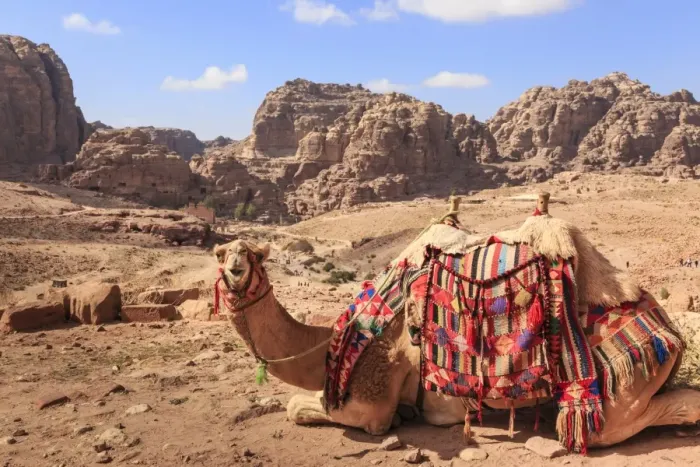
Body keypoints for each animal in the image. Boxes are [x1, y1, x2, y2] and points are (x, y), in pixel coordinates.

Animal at [213, 195, 700, 453]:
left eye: (252, 256)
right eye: (221, 253)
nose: (234, 272)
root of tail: (667, 331)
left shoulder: (371, 403)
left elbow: (300, 409)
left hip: (617, 401)